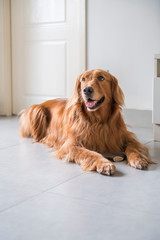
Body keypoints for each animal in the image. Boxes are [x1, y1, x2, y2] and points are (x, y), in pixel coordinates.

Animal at [19, 69, 153, 174]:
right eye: (83, 79)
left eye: (101, 78)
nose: (87, 90)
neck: (98, 121)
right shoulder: (70, 145)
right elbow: (90, 153)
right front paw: (104, 163)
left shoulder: (127, 137)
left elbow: (133, 148)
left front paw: (138, 159)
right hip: (37, 110)